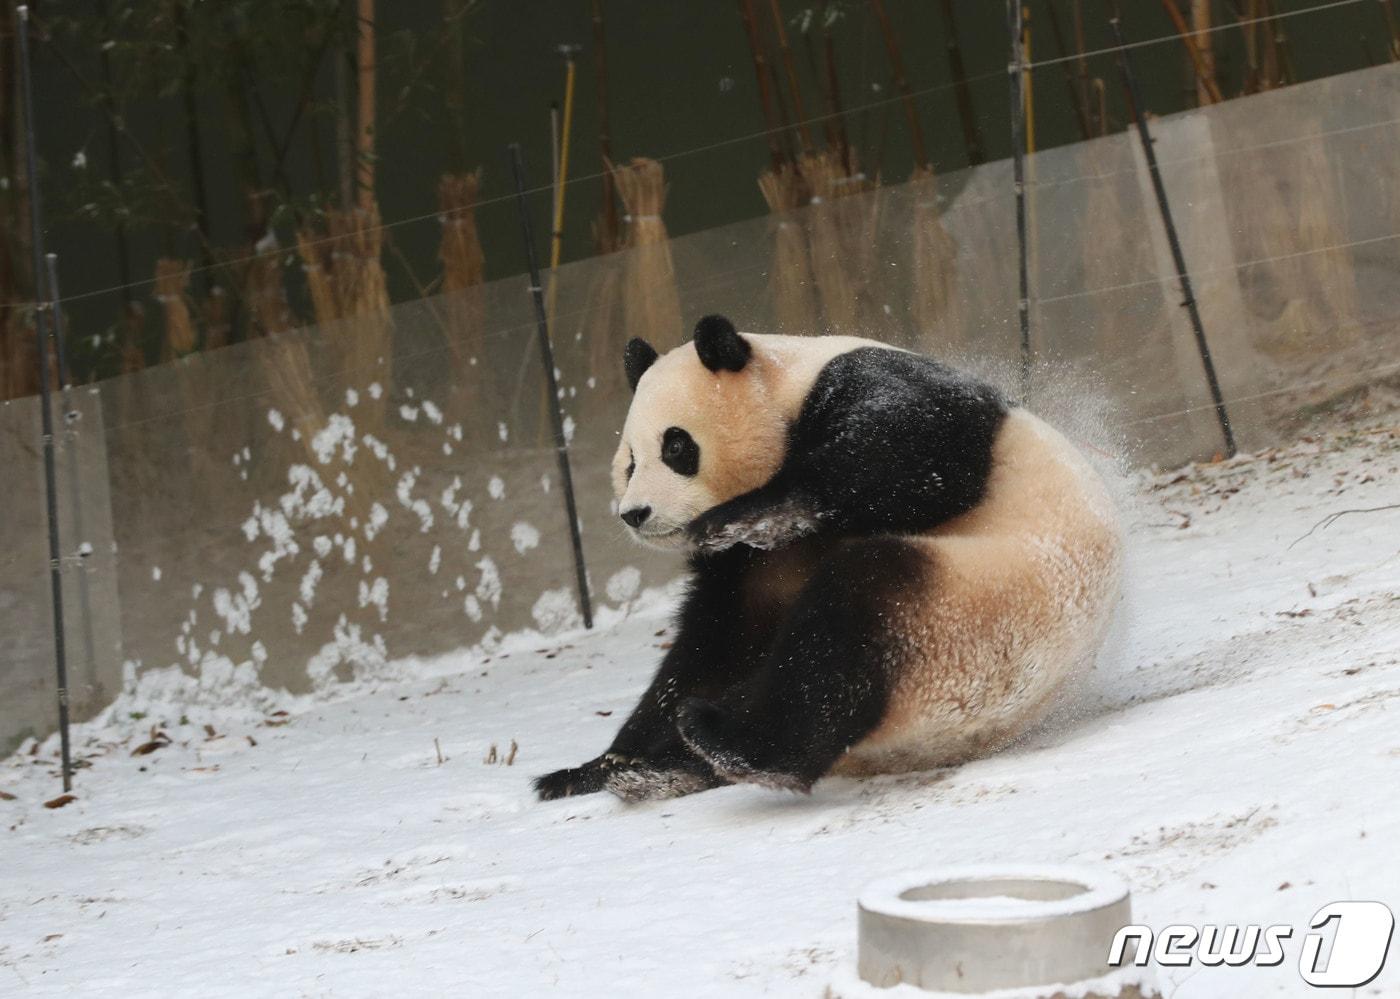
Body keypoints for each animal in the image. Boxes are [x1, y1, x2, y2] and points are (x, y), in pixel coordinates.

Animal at [529, 319, 1120, 800]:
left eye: (677, 447)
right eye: (630, 461)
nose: (635, 513)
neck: (783, 384)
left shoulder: (868, 382)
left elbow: (918, 450)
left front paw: (738, 512)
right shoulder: (747, 569)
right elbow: (716, 644)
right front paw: (596, 767)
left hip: (977, 610)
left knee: (845, 627)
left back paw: (734, 743)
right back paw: (661, 768)